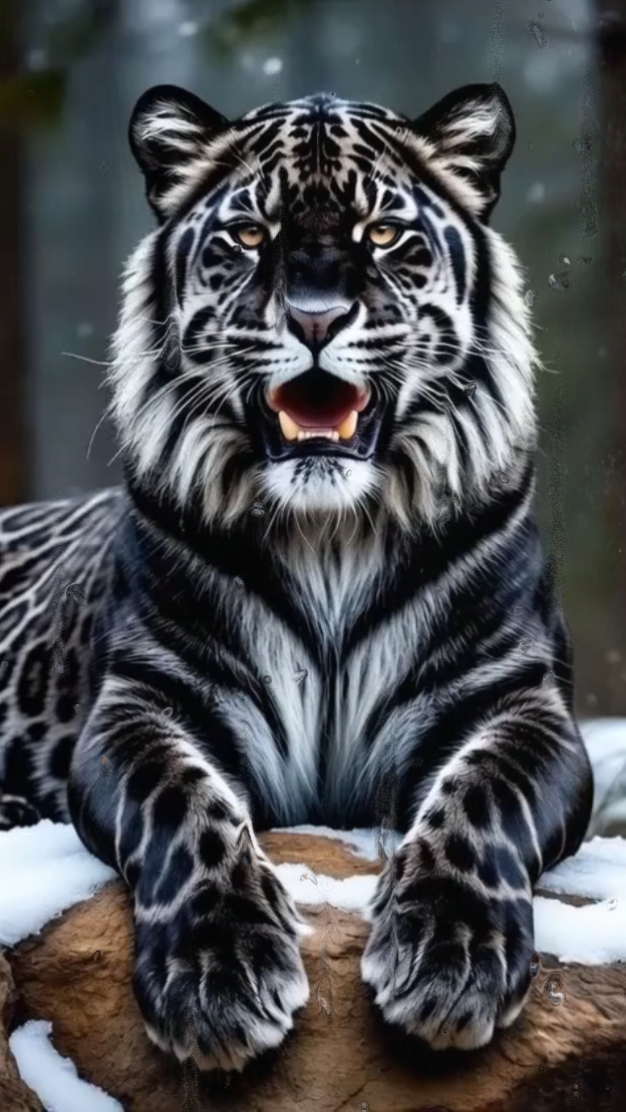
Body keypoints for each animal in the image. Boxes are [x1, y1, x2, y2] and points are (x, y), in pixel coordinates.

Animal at [0, 81, 592, 1069]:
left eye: (384, 233)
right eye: (248, 235)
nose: (315, 318)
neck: (330, 538)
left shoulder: (513, 696)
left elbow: (481, 796)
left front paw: (450, 960)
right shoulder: (149, 697)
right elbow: (183, 805)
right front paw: (221, 977)